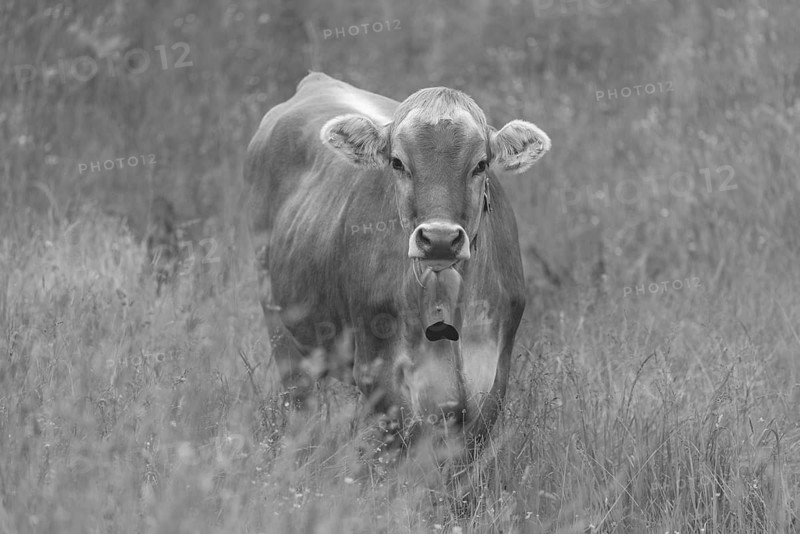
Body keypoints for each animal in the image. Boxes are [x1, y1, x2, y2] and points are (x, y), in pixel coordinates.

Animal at [244, 72, 551, 457]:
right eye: (397, 163)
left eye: (480, 164)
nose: (439, 238)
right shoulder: (381, 372)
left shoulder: (493, 371)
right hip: (280, 327)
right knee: (299, 404)